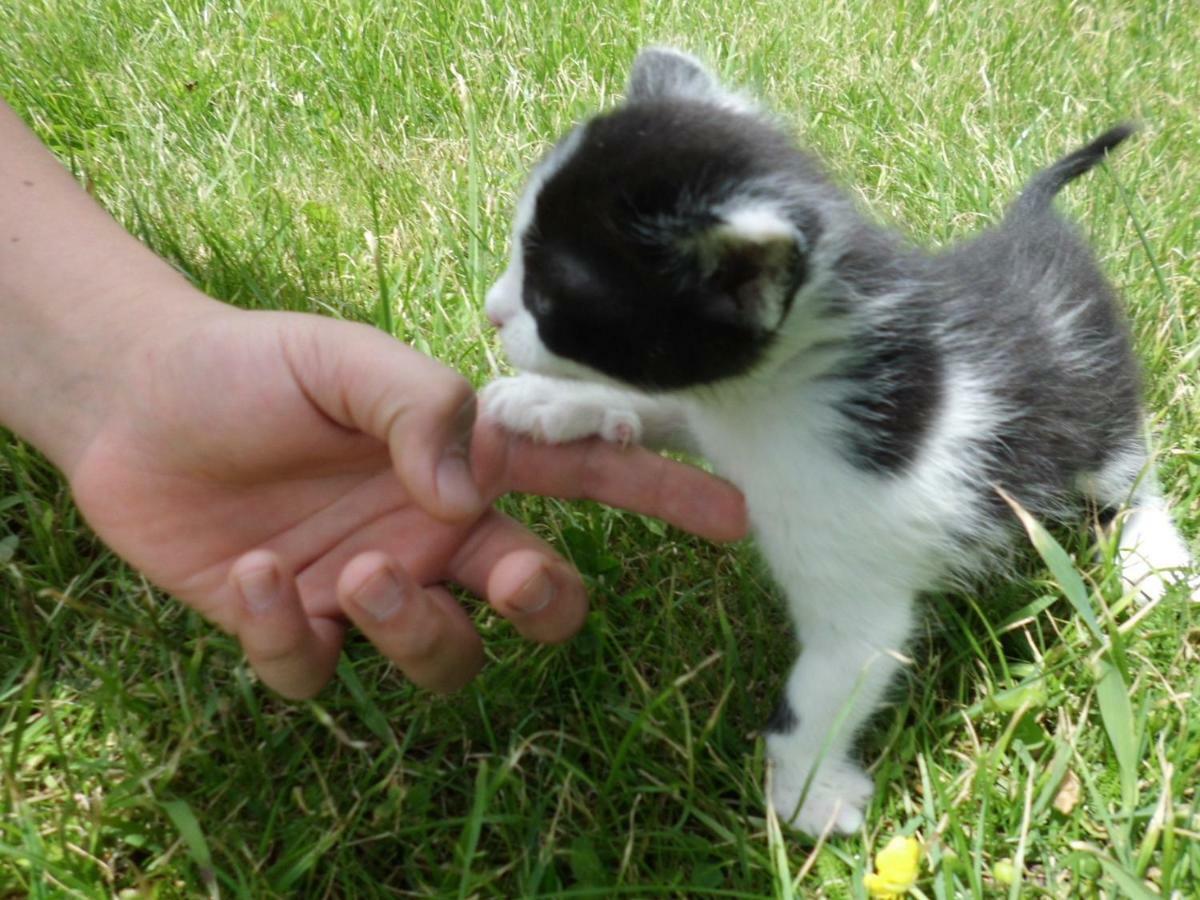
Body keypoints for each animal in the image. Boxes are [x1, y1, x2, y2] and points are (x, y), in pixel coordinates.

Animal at [475, 47, 1190, 840]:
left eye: (550, 298)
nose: (493, 312)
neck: (769, 398)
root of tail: (1033, 227)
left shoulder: (857, 589)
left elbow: (819, 696)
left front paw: (809, 795)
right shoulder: (724, 411)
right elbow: (658, 406)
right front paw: (550, 404)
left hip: (1098, 400)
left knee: (1128, 472)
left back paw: (1153, 559)